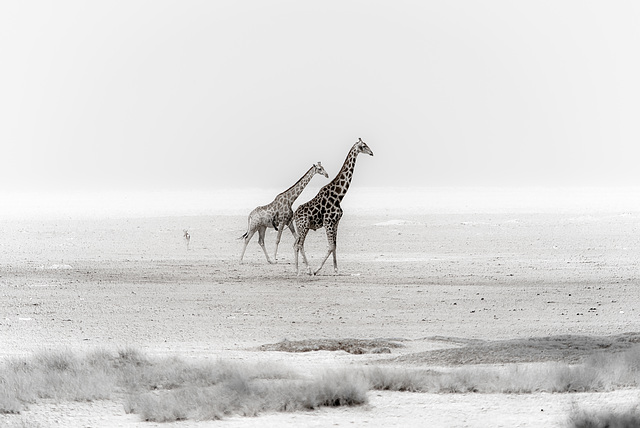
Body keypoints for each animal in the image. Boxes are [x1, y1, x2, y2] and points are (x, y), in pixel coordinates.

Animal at [292, 139, 372, 276]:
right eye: (363, 146)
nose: (371, 152)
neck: (339, 196)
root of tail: (295, 215)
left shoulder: (336, 222)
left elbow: (335, 245)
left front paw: (336, 269)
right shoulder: (328, 222)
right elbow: (330, 246)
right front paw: (317, 269)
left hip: (303, 227)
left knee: (297, 244)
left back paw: (300, 269)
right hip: (303, 226)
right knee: (299, 244)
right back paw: (304, 270)